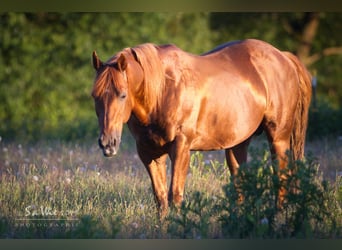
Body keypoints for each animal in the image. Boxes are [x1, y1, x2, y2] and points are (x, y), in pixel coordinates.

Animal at [91, 39, 312, 217]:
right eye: (95, 96)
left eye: (122, 95)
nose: (107, 144)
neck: (162, 91)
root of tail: (283, 56)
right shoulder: (148, 153)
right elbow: (160, 198)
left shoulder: (181, 148)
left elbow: (175, 196)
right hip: (237, 145)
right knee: (240, 184)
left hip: (278, 138)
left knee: (281, 178)